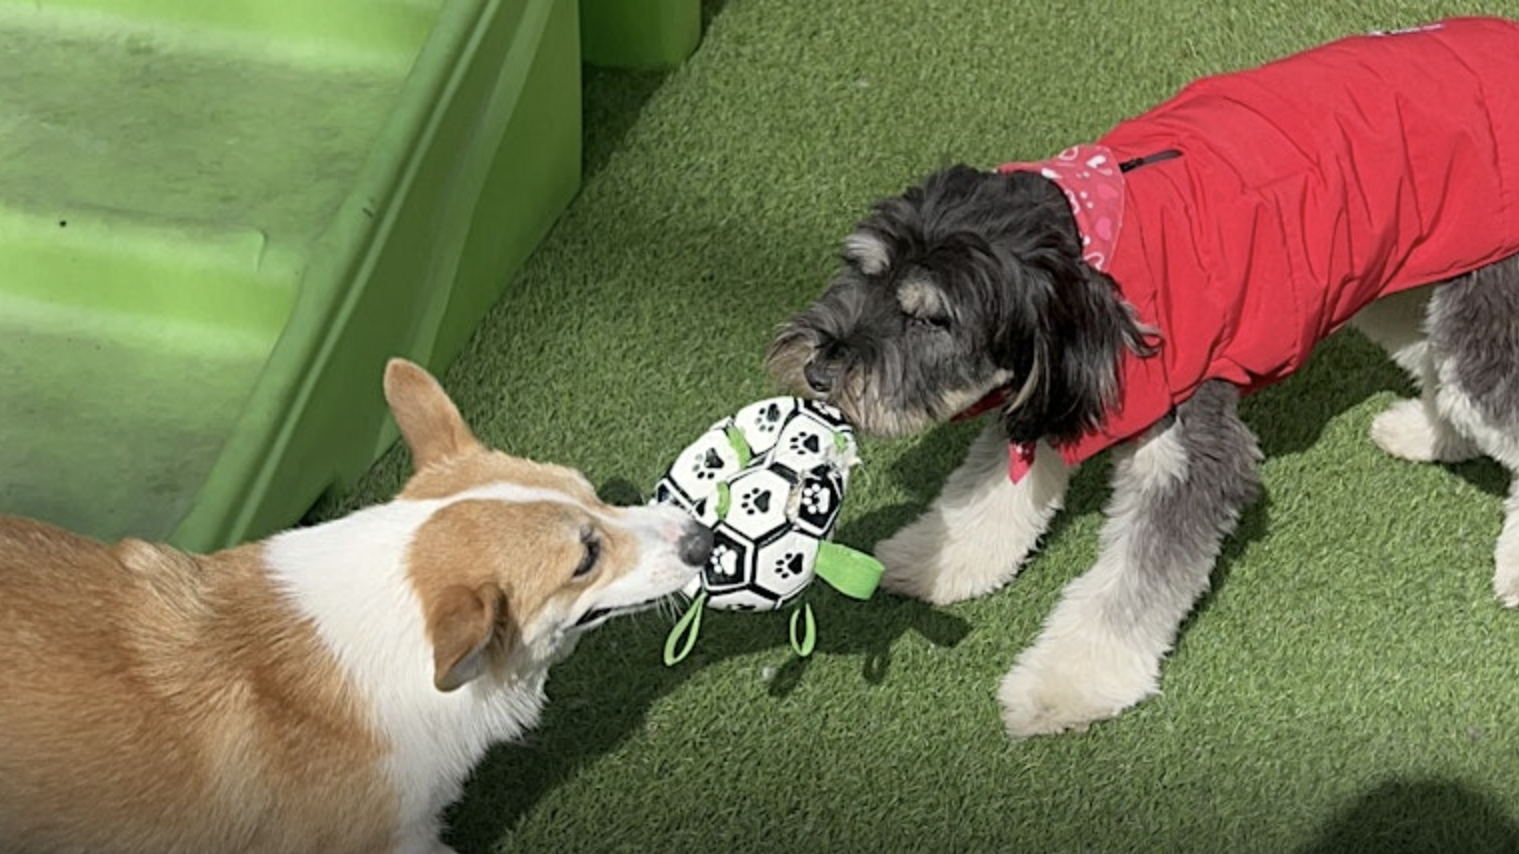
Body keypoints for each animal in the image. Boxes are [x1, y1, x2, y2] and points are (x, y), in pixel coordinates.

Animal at [771, 21, 1519, 738]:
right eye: (861, 272)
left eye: (932, 319)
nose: (816, 371)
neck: (1101, 263)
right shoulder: (1053, 395)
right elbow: (989, 497)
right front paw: (936, 558)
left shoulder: (1185, 447)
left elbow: (1129, 587)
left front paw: (1064, 685)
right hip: (1406, 276)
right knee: (1440, 365)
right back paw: (1429, 434)